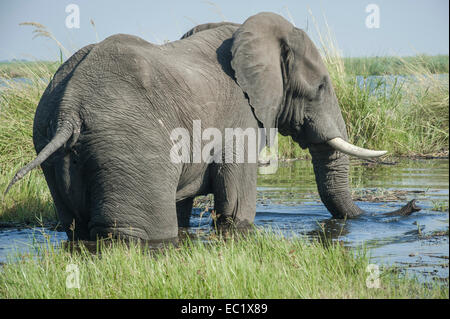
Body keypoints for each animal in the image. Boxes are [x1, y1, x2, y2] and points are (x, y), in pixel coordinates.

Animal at [5, 12, 416, 242]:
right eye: (319, 88)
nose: (413, 205)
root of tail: (69, 109)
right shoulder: (240, 117)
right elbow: (235, 205)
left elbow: (185, 206)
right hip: (127, 146)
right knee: (140, 233)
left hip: (49, 140)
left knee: (74, 228)